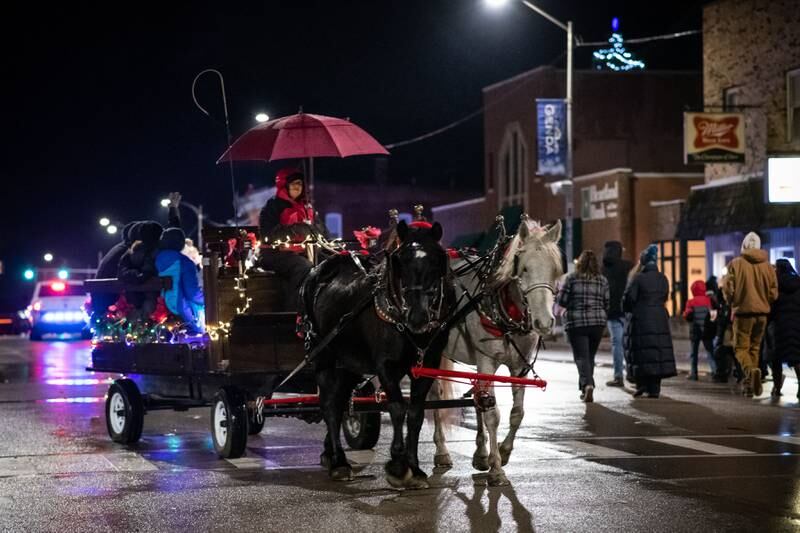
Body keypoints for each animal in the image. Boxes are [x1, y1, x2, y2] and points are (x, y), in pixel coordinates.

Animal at [302, 219, 454, 486]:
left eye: (437, 260)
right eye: (400, 260)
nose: (417, 317)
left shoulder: (427, 364)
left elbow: (415, 413)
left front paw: (415, 468)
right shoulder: (386, 366)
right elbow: (397, 408)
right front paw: (398, 465)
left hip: (349, 364)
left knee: (339, 401)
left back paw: (330, 454)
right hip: (323, 356)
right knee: (329, 405)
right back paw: (339, 462)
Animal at [432, 217, 564, 486]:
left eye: (555, 270)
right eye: (523, 268)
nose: (545, 322)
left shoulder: (520, 367)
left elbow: (517, 413)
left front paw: (502, 452)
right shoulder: (487, 362)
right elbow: (493, 415)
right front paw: (496, 469)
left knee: (476, 399)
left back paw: (480, 453)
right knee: (434, 396)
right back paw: (441, 451)